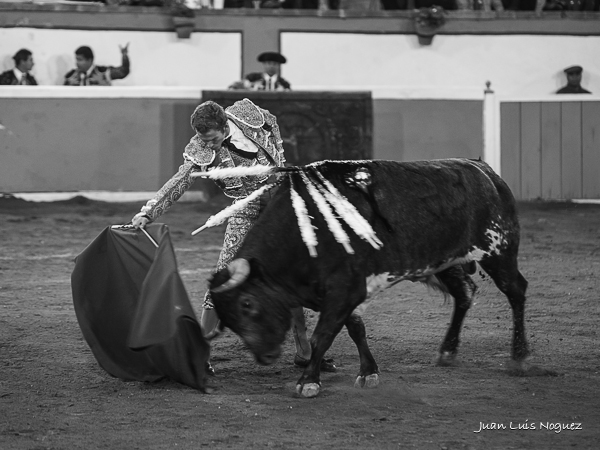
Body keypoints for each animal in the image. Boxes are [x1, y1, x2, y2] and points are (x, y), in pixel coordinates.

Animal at [209, 158, 532, 398]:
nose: (264, 357)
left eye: (247, 304)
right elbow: (356, 329)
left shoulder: (344, 289)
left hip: (499, 250)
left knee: (516, 290)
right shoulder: (344, 293)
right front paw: (369, 372)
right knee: (465, 293)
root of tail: (486, 171)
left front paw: (308, 381)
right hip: (447, 262)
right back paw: (448, 351)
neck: (304, 229)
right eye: (228, 321)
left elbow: (322, 335)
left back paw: (519, 356)